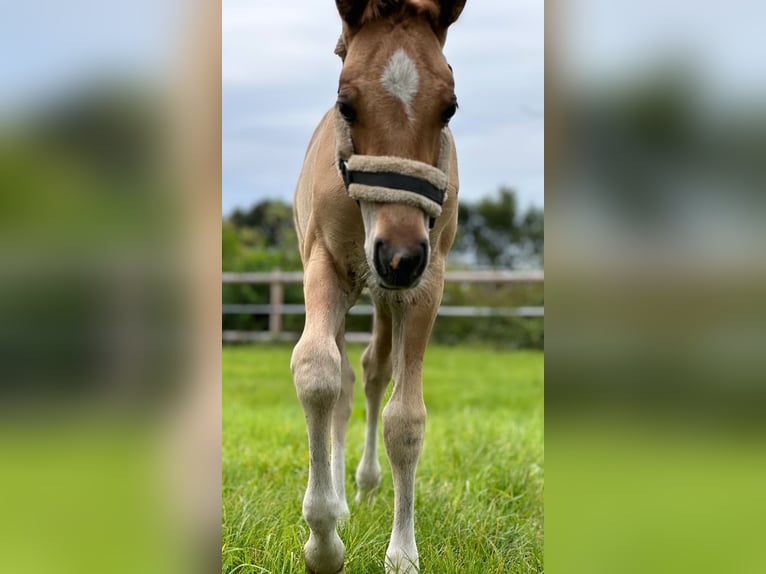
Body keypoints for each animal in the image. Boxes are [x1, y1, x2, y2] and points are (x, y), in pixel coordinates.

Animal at [292, 2, 464, 572]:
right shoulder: (324, 266)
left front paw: (403, 555)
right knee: (348, 380)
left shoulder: (424, 287)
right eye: (345, 103)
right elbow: (318, 373)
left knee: (373, 371)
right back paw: (346, 500)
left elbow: (405, 419)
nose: (400, 255)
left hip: (388, 298)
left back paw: (367, 486)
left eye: (449, 107)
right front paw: (323, 542)